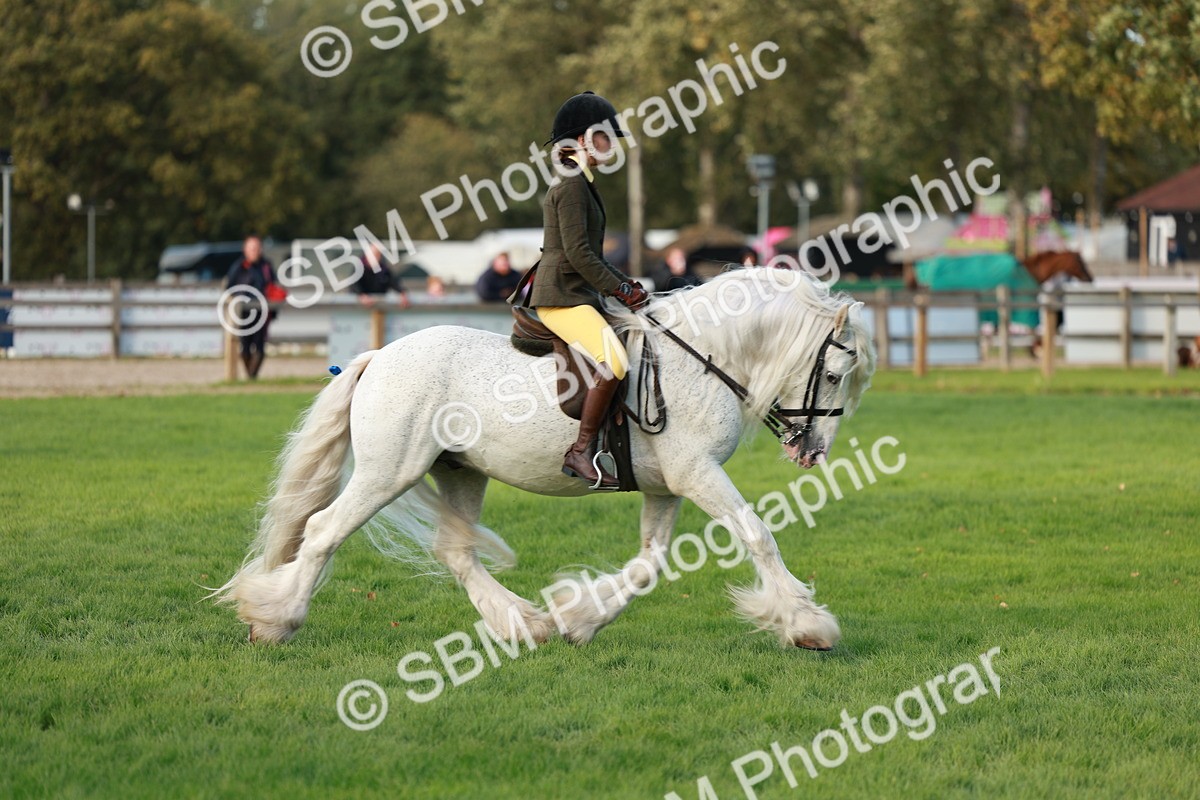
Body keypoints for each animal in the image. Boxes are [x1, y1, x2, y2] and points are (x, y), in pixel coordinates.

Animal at [211, 268, 876, 651]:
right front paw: (809, 626)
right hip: (388, 471)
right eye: (834, 374)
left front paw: (579, 618)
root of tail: (378, 356)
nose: (813, 452)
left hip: (461, 471)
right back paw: (274, 620)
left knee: (456, 552)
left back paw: (524, 624)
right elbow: (758, 536)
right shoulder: (698, 475)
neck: (702, 355)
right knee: (324, 530)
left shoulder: (669, 486)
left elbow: (649, 565)